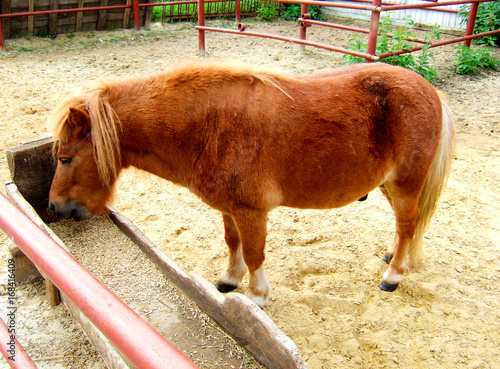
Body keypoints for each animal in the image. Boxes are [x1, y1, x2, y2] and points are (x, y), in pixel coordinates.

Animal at [48, 61, 456, 308]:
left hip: (405, 184)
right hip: (389, 186)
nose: (52, 206)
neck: (210, 128)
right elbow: (234, 244)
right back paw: (392, 256)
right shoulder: (230, 209)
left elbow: (256, 253)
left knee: (408, 226)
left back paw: (393, 275)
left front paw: (257, 296)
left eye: (65, 158)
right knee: (405, 227)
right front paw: (230, 279)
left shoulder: (252, 211)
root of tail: (430, 91)